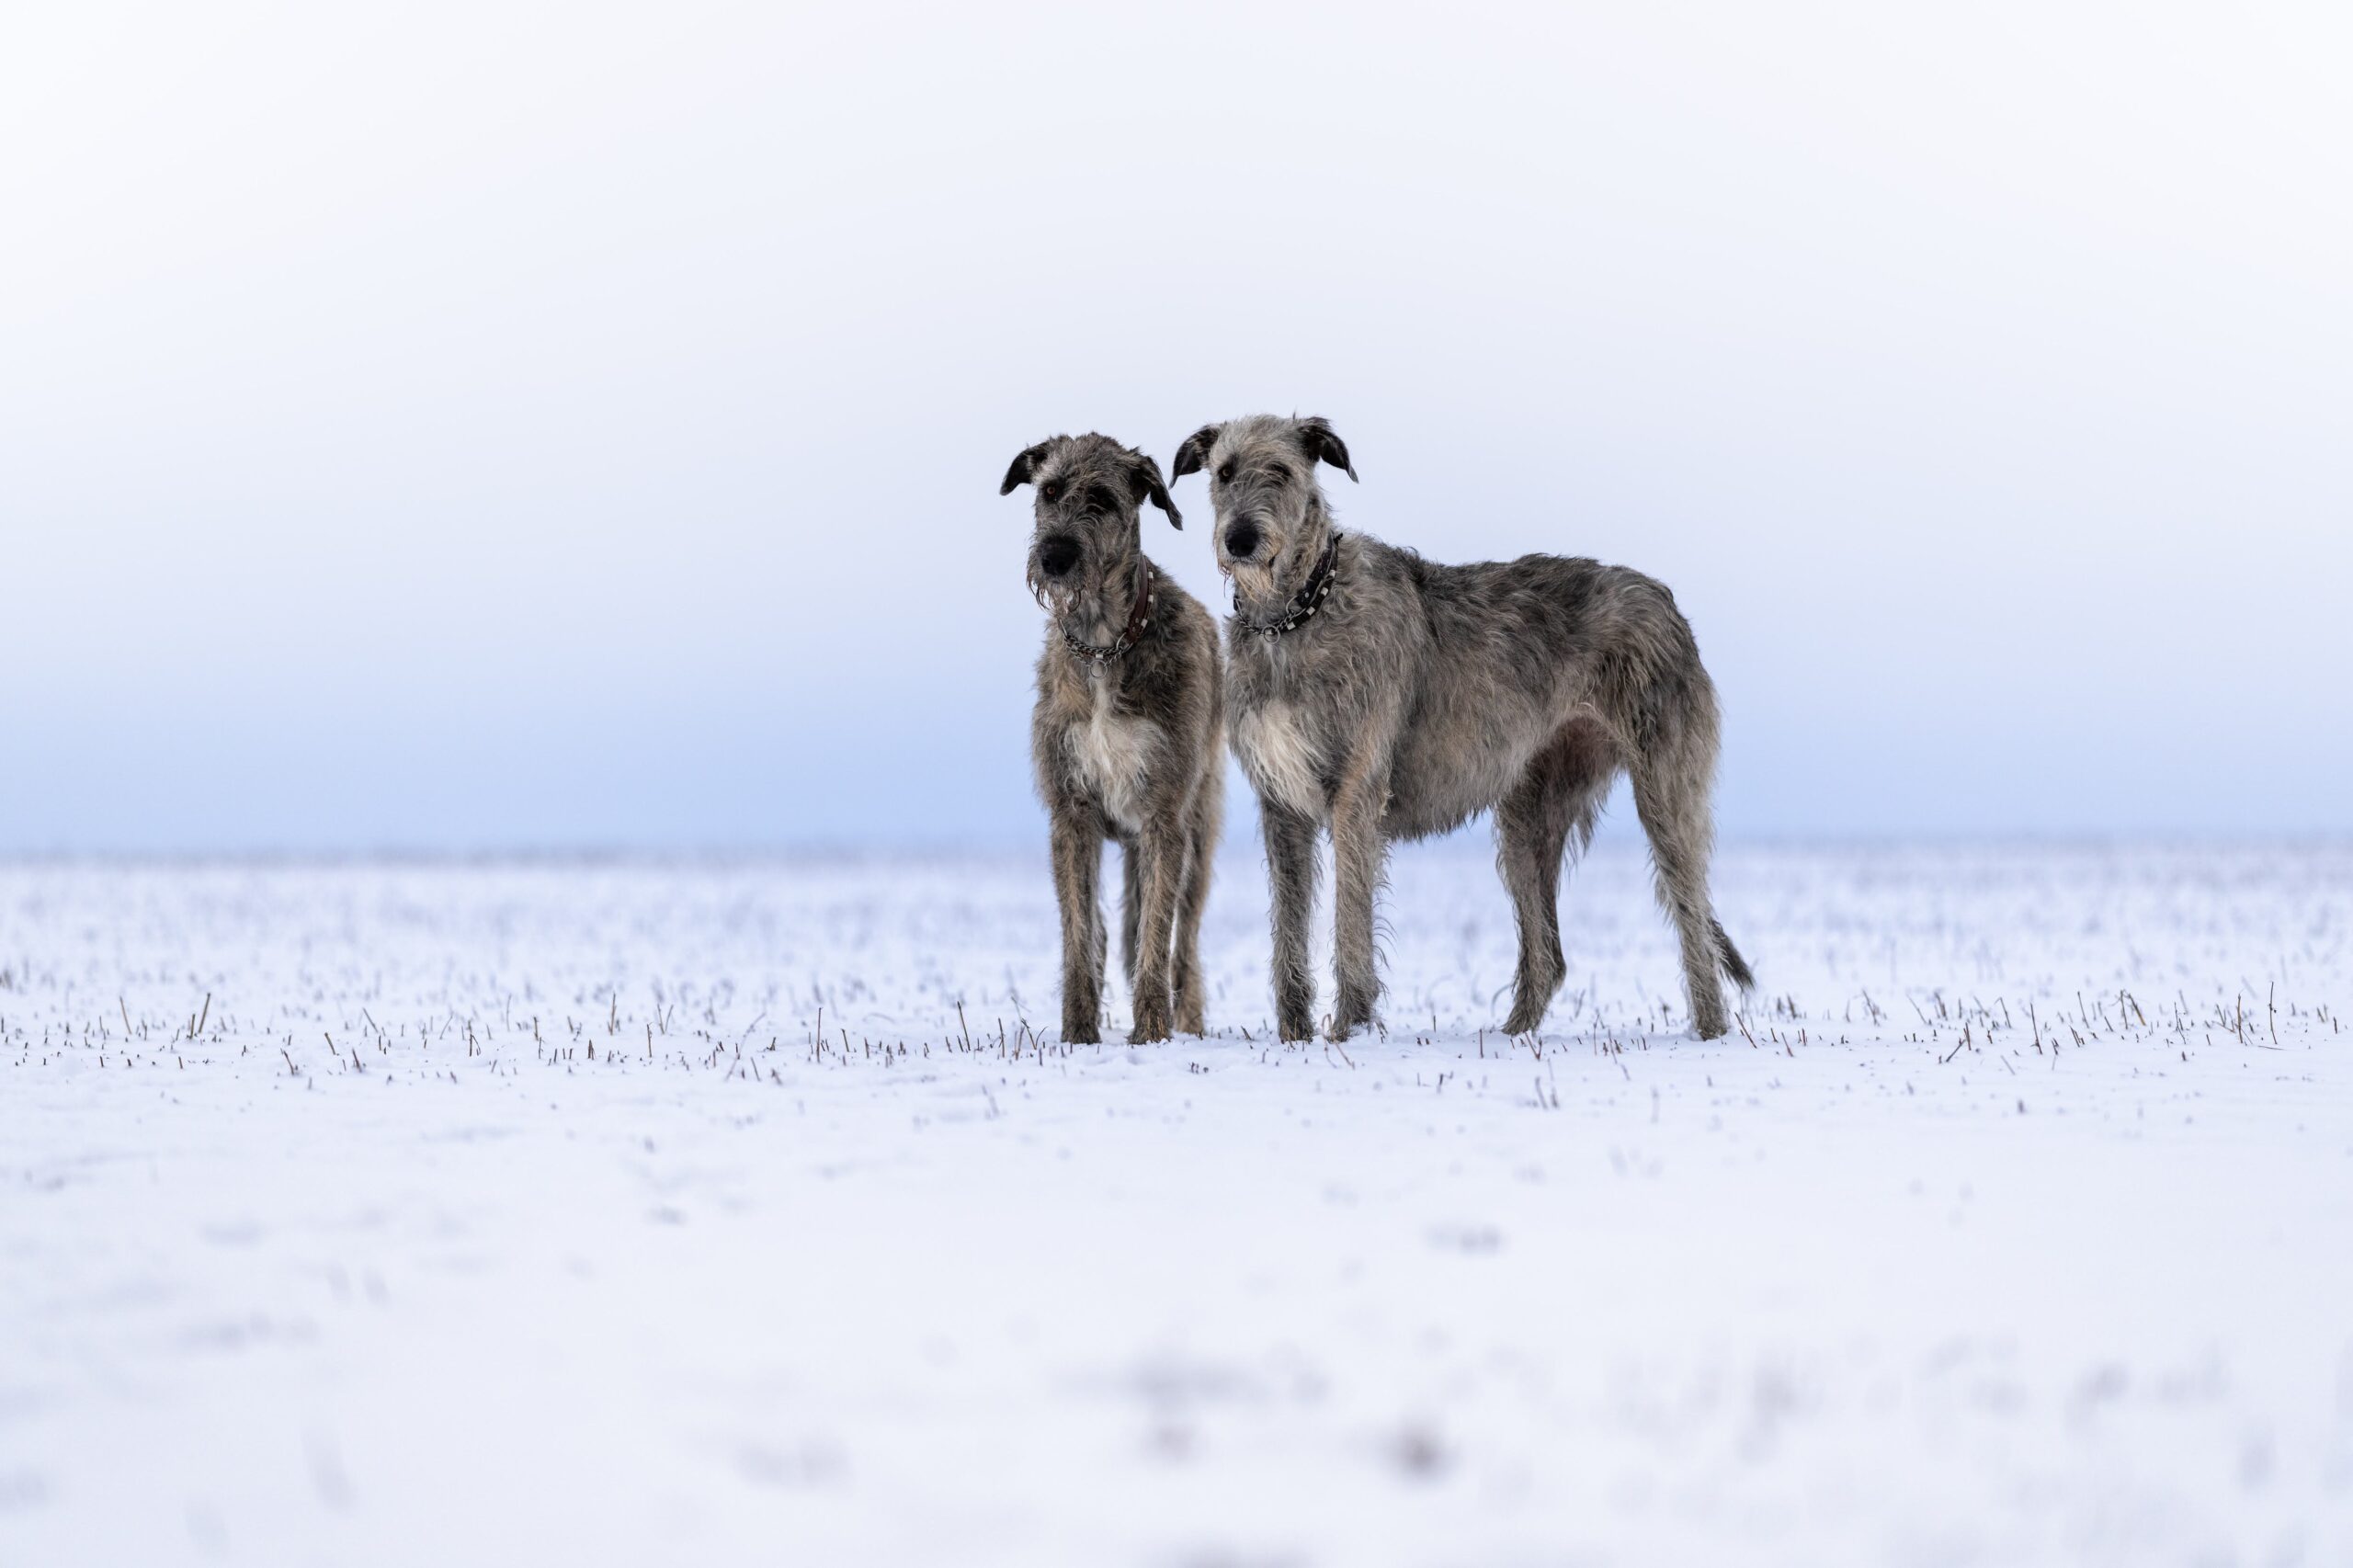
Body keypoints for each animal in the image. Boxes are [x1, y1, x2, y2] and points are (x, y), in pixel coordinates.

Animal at [1004, 433, 1224, 1043]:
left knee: (1183, 942)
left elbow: (1154, 936)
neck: (1104, 644)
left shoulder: (1164, 819)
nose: (1055, 557)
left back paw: (1187, 1020)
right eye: (1050, 491)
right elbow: (1082, 935)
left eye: (1102, 499)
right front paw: (1078, 1033)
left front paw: (1151, 1033)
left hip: (1199, 829)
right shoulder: (1071, 815)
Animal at [1170, 414, 1752, 1041]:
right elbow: (1289, 920)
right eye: (1224, 473)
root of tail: (1666, 601)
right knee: (1549, 954)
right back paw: (1511, 1033)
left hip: (1664, 787)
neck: (1298, 613)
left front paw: (1348, 1029)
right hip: (1531, 811)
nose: (1240, 540)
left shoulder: (1356, 792)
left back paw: (1709, 1032)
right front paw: (1294, 1035)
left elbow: (1351, 917)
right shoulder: (1281, 804)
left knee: (1692, 920)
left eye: (1279, 470)